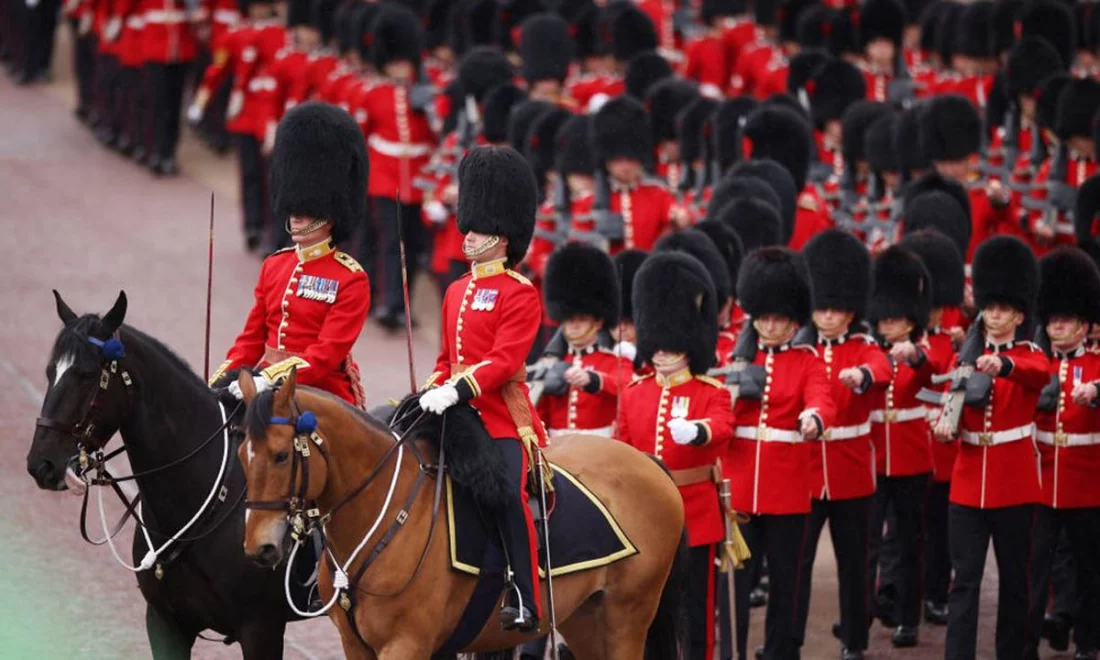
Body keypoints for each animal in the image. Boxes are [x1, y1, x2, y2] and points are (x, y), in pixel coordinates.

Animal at [235, 369, 686, 655]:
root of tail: (648, 462)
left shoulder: (406, 644)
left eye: (280, 456)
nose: (260, 548)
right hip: (584, 619)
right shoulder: (356, 646)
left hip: (626, 617)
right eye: (242, 453)